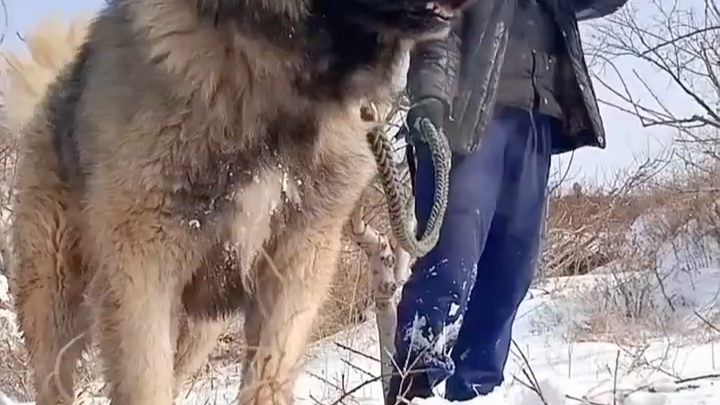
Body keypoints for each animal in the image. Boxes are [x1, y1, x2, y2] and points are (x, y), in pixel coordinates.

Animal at [11, 0, 472, 404]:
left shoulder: (297, 261)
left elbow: (268, 377)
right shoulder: (140, 268)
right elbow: (145, 384)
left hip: (197, 330)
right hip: (54, 300)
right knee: (55, 380)